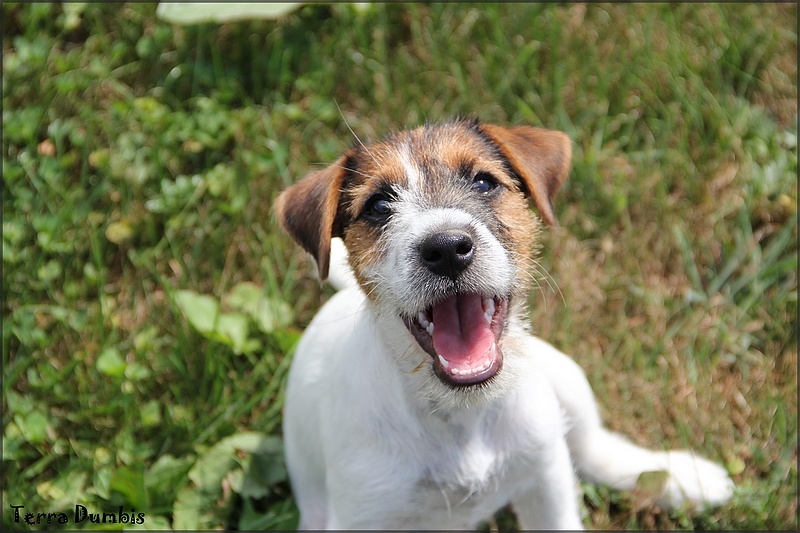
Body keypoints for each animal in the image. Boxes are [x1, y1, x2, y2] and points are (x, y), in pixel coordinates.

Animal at [272, 117, 736, 528]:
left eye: (484, 182)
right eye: (378, 205)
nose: (446, 248)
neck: (460, 415)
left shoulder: (546, 481)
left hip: (561, 381)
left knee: (593, 448)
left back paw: (681, 479)